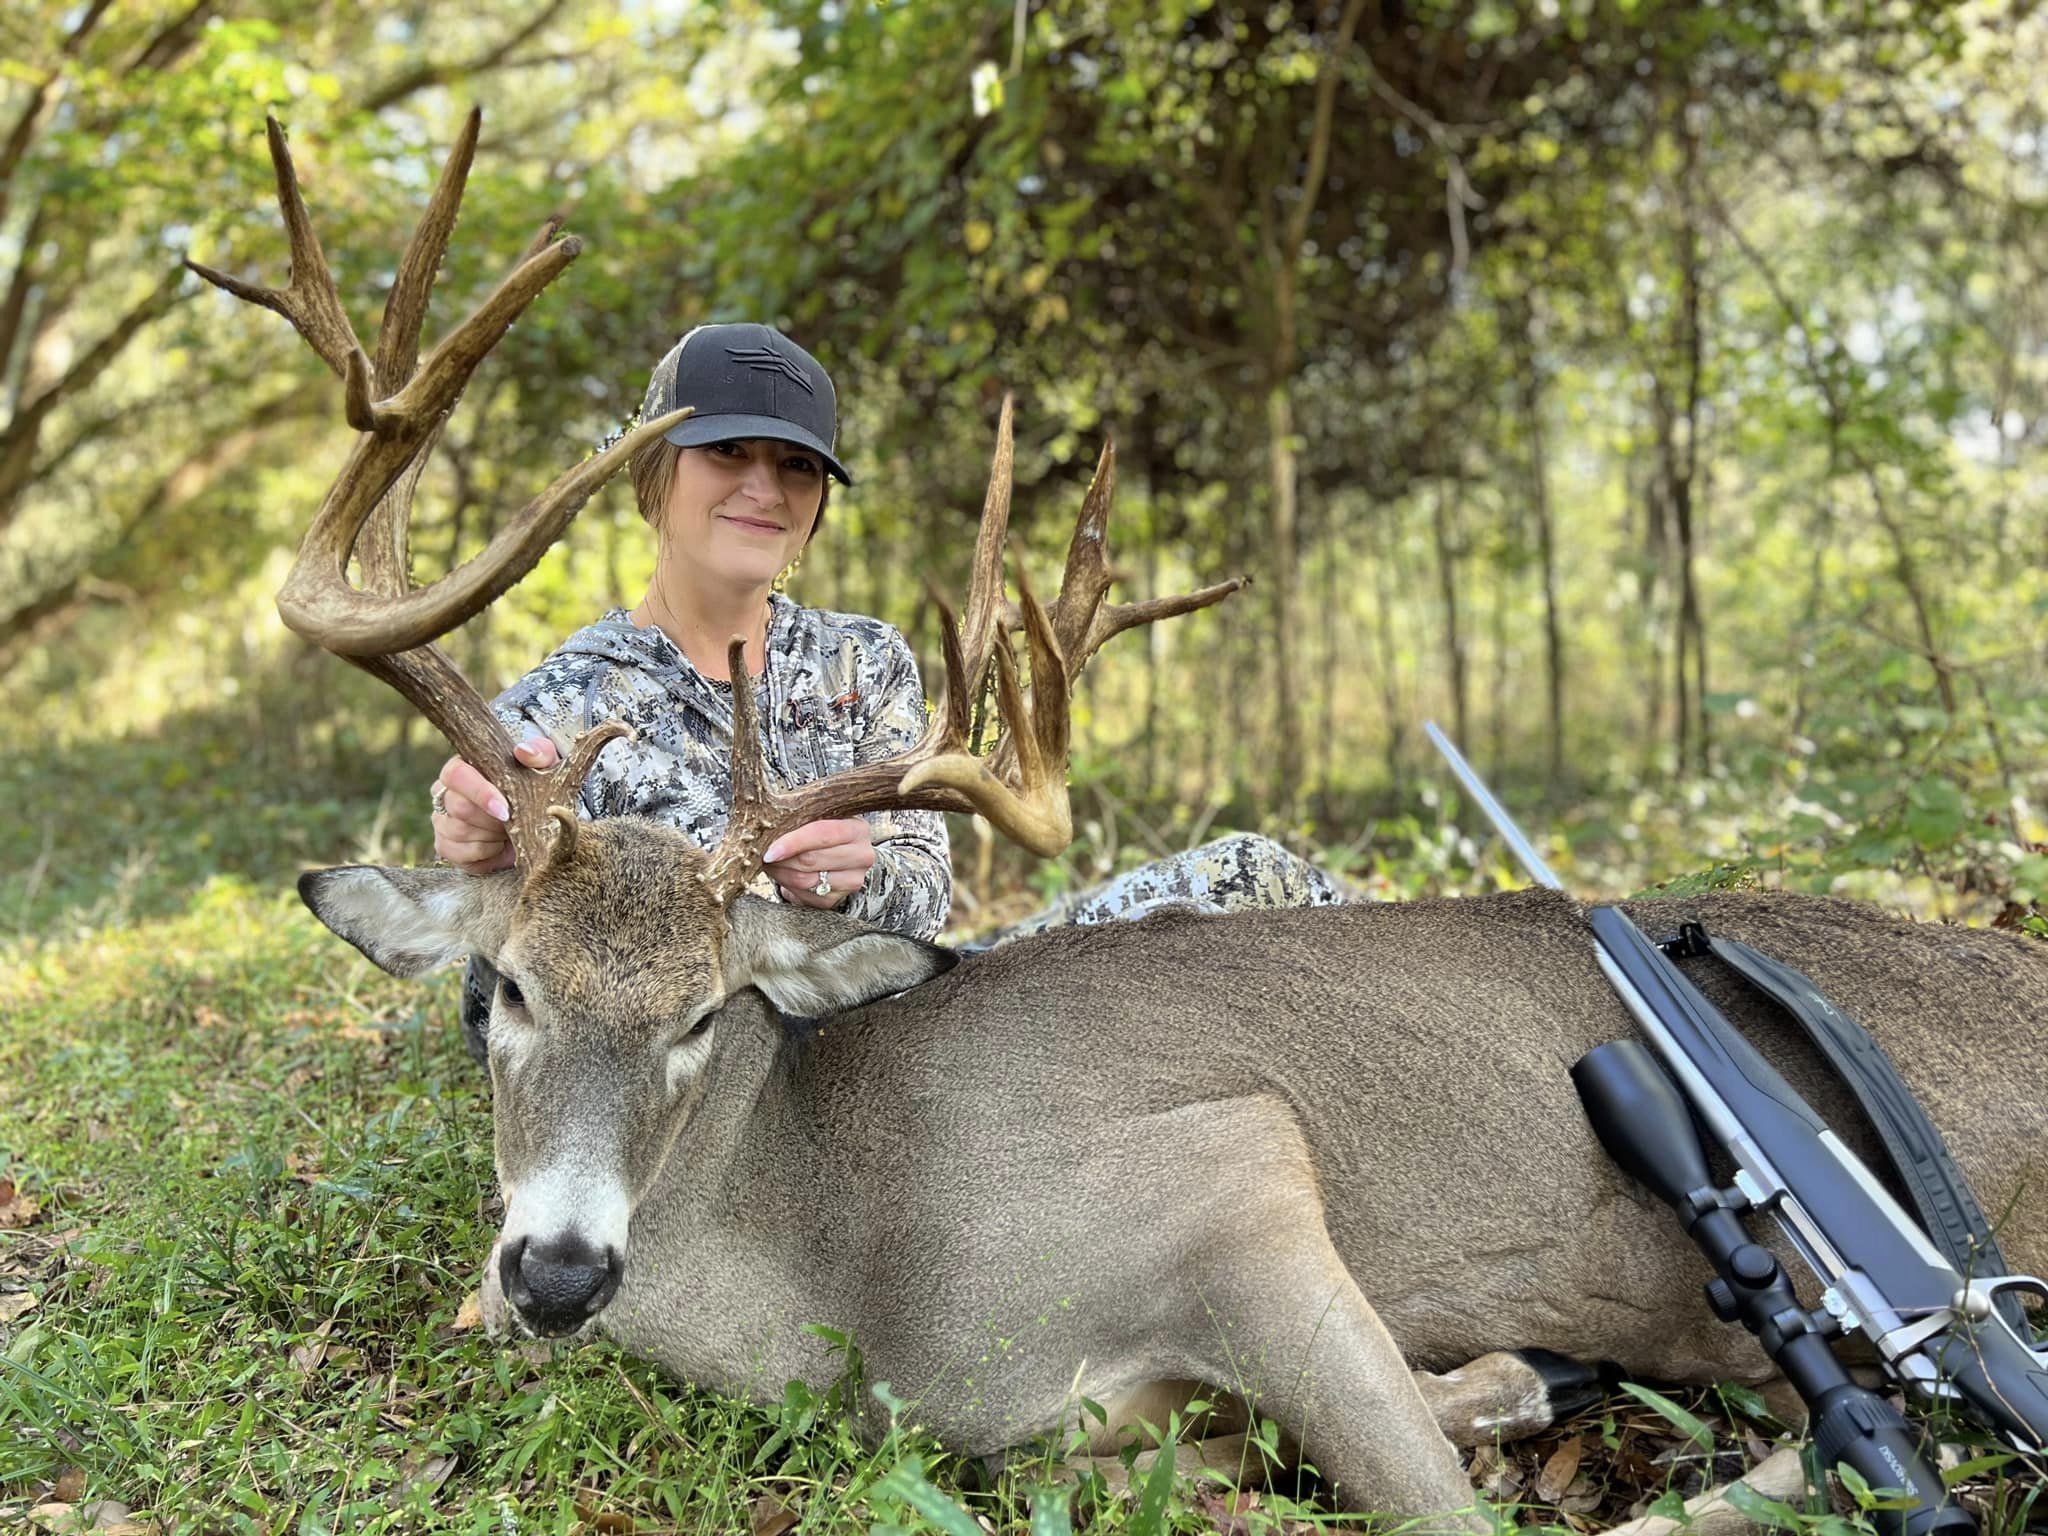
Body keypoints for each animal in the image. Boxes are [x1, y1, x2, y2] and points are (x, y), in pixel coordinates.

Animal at [195, 115, 2048, 1528]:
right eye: (504, 988)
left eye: (707, 1014)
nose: (560, 1274)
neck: (843, 1270)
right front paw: (1500, 1381)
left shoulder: (1230, 1171)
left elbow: (1429, 1502)